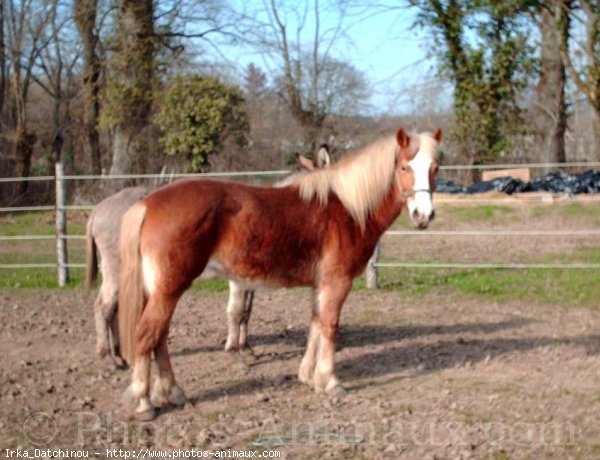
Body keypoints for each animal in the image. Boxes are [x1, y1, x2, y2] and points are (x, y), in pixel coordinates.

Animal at [119, 127, 442, 418]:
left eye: (434, 168)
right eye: (404, 166)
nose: (423, 216)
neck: (347, 208)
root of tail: (147, 203)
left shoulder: (320, 285)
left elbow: (315, 325)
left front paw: (309, 377)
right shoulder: (337, 283)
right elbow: (330, 327)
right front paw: (330, 382)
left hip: (161, 290)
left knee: (160, 336)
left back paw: (172, 392)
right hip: (170, 287)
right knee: (147, 333)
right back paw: (144, 403)